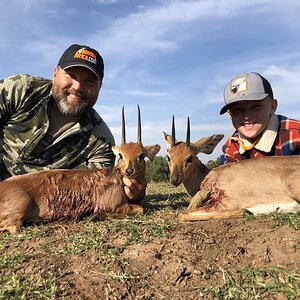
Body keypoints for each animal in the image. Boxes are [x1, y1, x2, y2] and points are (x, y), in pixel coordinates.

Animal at [0, 106, 161, 234]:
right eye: (120, 155)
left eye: (141, 155)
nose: (129, 170)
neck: (116, 177)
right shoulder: (116, 206)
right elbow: (140, 209)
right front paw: (94, 216)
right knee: (13, 228)